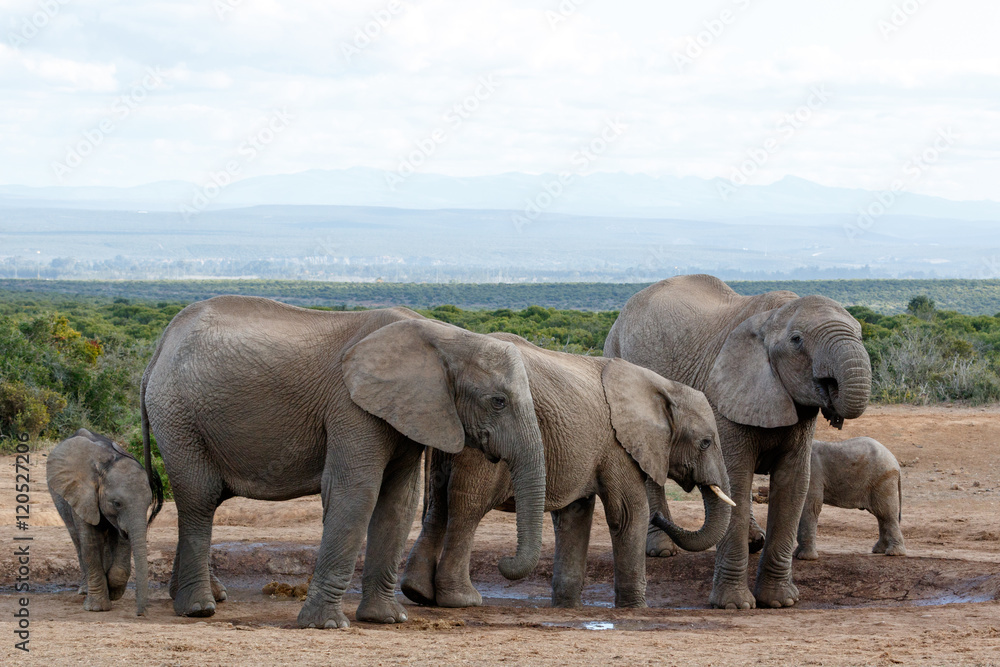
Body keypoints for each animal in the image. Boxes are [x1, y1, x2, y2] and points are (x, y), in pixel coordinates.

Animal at [47, 428, 163, 615]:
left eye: (148, 503)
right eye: (117, 503)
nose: (141, 613)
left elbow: (123, 542)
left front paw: (114, 592)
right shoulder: (83, 496)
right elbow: (90, 543)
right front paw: (97, 608)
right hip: (60, 495)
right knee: (77, 540)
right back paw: (84, 590)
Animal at [140, 296, 547, 629]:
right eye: (498, 401)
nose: (505, 564)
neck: (447, 337)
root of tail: (160, 345)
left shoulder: (408, 412)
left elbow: (399, 501)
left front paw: (387, 620)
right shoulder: (351, 407)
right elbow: (357, 493)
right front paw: (326, 626)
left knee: (204, 499)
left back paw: (198, 598)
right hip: (178, 415)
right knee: (199, 497)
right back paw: (198, 609)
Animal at [401, 332, 733, 609]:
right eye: (705, 443)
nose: (661, 518)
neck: (662, 386)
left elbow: (575, 515)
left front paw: (566, 606)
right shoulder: (617, 445)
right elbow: (628, 514)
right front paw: (636, 608)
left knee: (439, 503)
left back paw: (417, 593)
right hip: (483, 439)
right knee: (467, 508)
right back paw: (462, 600)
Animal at [604, 274, 871, 610]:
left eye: (860, 333)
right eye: (797, 340)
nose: (833, 398)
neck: (773, 317)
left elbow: (794, 483)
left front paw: (779, 602)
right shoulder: (725, 396)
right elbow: (737, 479)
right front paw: (733, 605)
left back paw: (753, 541)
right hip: (618, 361)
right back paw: (662, 549)